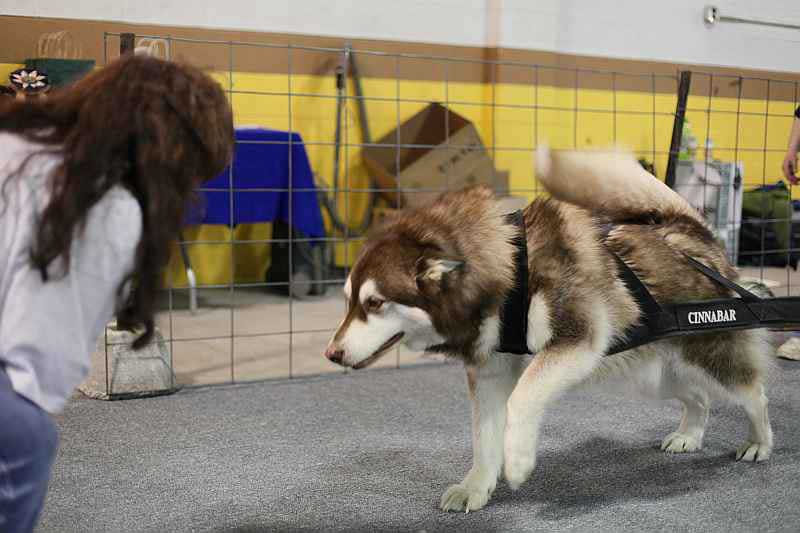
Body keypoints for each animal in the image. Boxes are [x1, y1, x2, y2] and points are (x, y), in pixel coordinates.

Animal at [322, 145, 772, 512]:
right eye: (347, 301)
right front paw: (476, 486)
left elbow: (521, 399)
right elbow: (483, 435)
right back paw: (689, 435)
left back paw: (759, 441)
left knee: (753, 393)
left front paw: (519, 461)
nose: (332, 353)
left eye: (375, 303)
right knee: (699, 396)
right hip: (653, 373)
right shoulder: (489, 372)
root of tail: (691, 230)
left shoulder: (577, 340)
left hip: (710, 354)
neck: (510, 268)